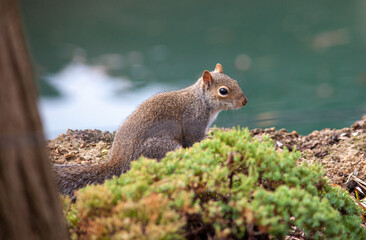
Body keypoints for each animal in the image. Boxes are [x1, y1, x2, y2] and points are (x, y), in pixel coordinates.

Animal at [53, 62, 249, 196]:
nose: (244, 101)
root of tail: (119, 161)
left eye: (236, 81)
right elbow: (195, 141)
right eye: (223, 91)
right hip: (162, 147)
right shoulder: (194, 125)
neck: (200, 101)